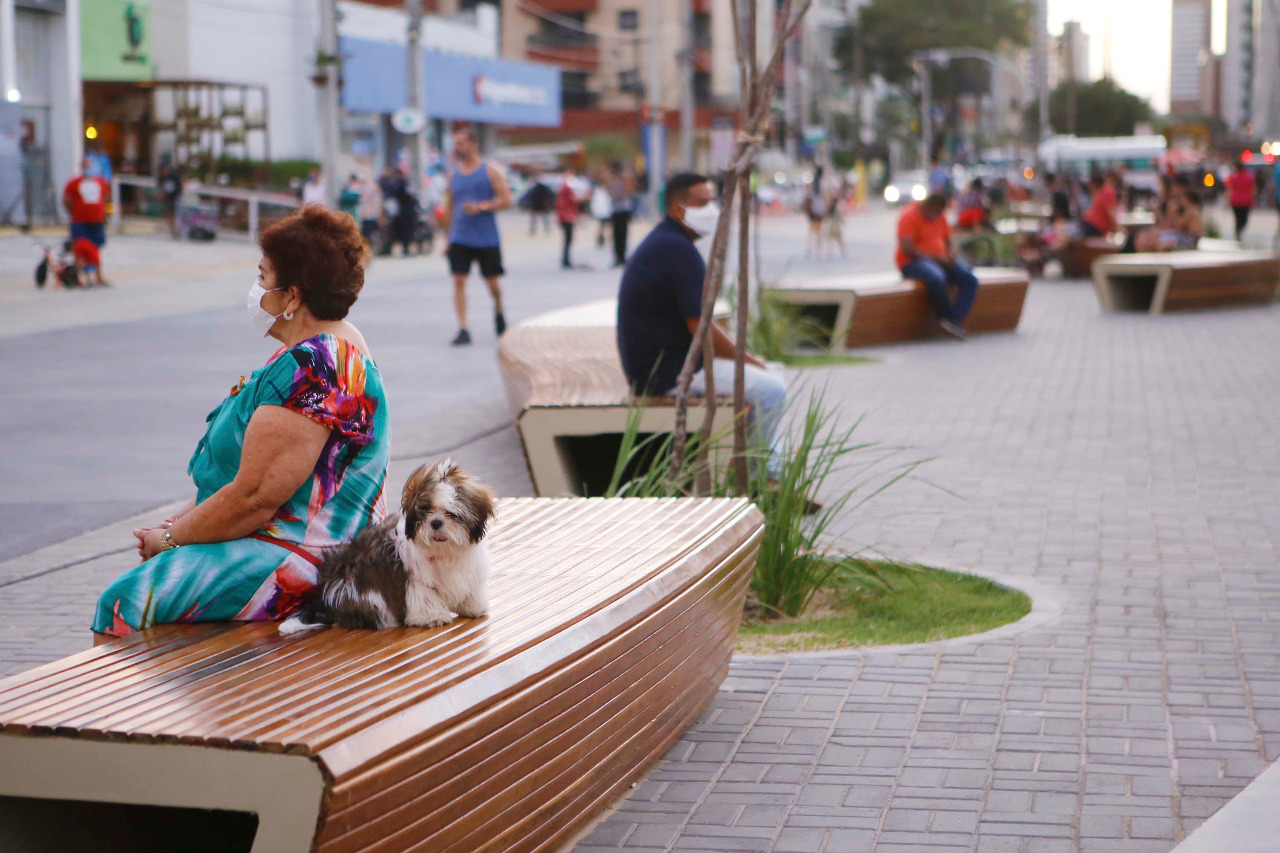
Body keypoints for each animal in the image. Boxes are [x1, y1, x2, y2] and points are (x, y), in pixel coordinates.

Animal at [280, 458, 494, 630]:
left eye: (451, 513)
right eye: (424, 512)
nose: (435, 522)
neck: (445, 552)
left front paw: (472, 605)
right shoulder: (412, 577)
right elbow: (423, 596)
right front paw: (432, 616)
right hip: (364, 593)